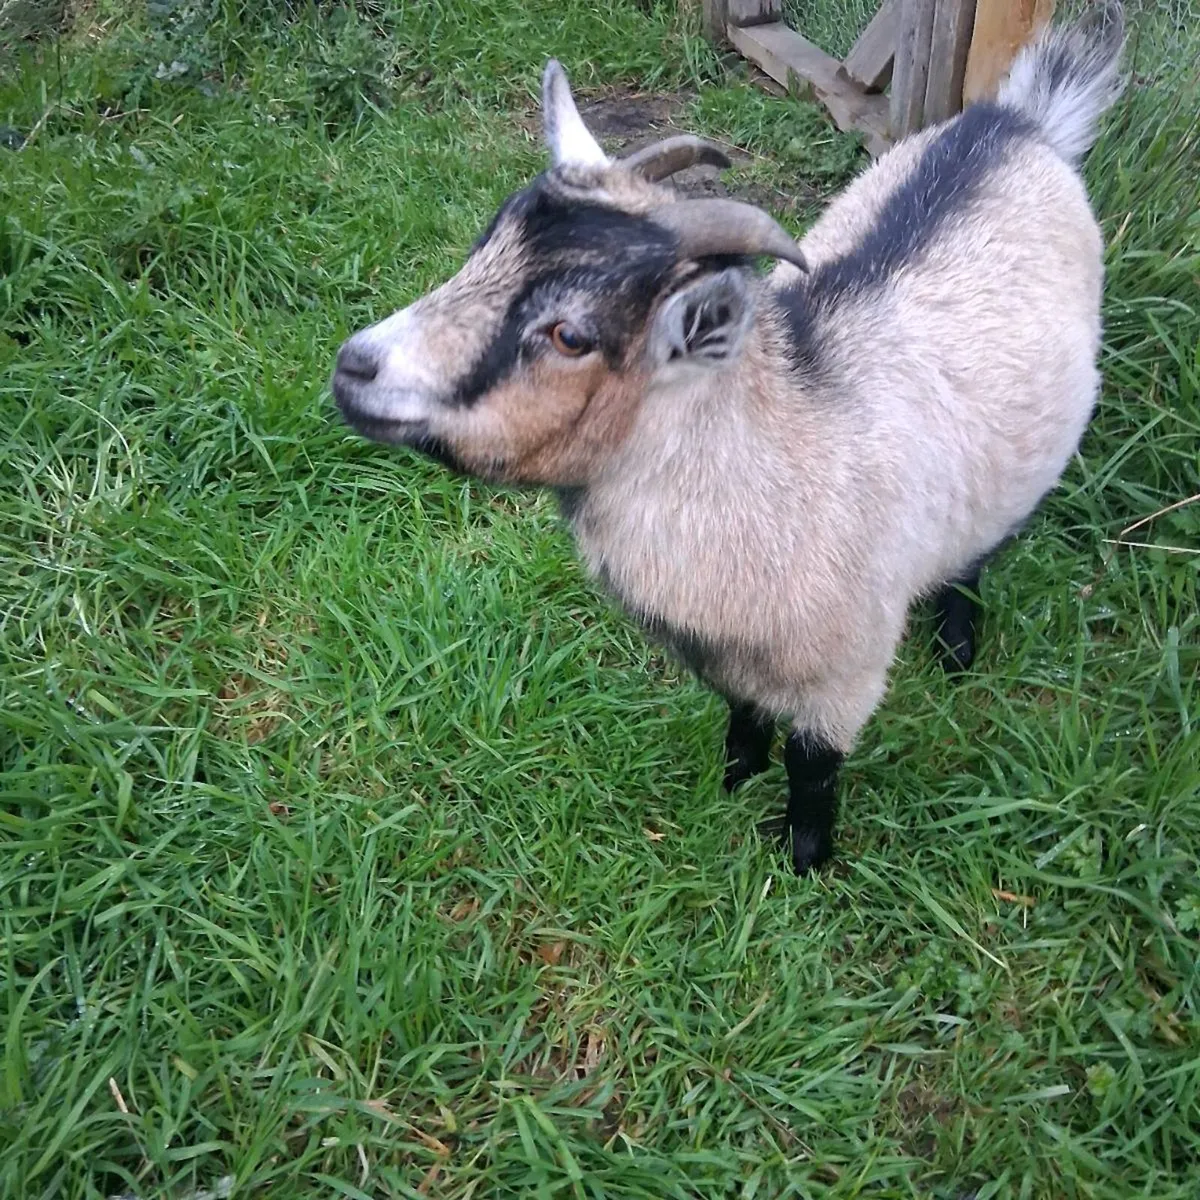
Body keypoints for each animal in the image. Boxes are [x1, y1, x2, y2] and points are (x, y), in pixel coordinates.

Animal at [331, 4, 1125, 873]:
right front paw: (732, 781)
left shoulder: (844, 671)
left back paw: (956, 648)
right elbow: (745, 716)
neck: (779, 454)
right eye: (484, 251)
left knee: (981, 549)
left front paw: (804, 863)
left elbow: (814, 768)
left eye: (571, 334)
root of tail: (1017, 121)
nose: (353, 367)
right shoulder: (735, 658)